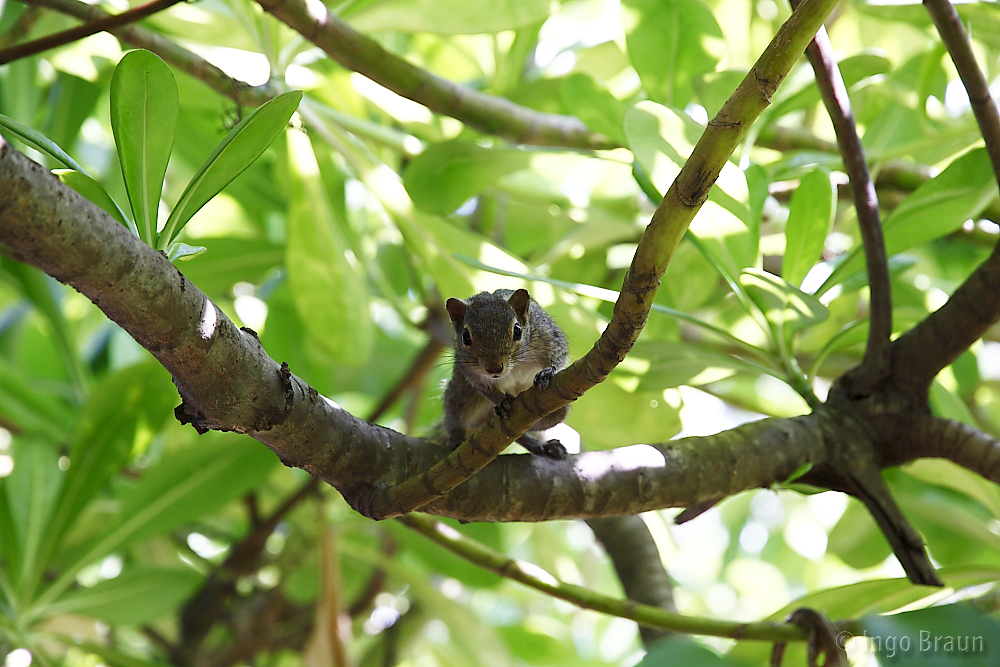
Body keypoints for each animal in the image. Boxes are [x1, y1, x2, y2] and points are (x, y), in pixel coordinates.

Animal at [446, 290, 572, 462]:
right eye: (465, 336)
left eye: (517, 330)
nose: (494, 368)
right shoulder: (470, 372)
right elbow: (484, 388)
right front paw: (501, 401)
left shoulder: (548, 334)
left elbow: (560, 353)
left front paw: (548, 372)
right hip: (460, 396)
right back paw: (455, 439)